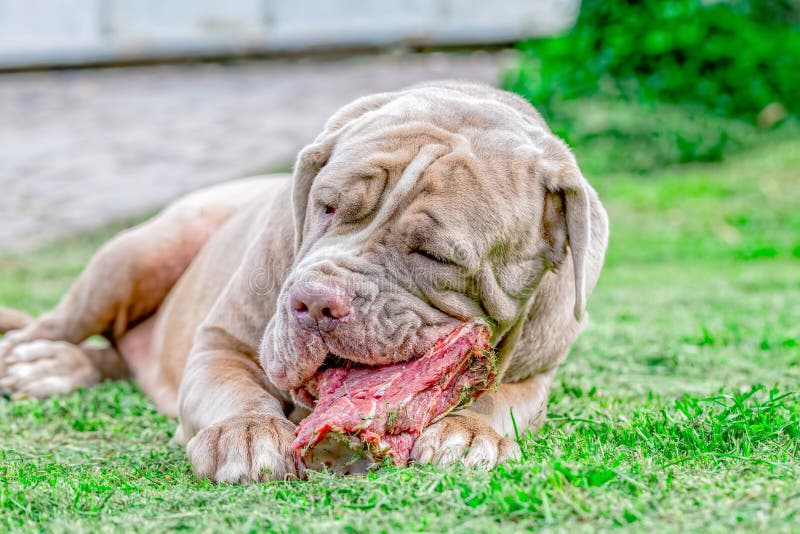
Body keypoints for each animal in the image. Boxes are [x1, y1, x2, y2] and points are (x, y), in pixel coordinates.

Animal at [0, 81, 608, 484]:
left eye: (433, 254)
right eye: (328, 206)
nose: (315, 303)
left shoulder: (538, 374)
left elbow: (500, 401)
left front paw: (466, 432)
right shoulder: (221, 341)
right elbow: (233, 388)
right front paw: (245, 435)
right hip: (136, 255)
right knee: (58, 325)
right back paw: (40, 361)